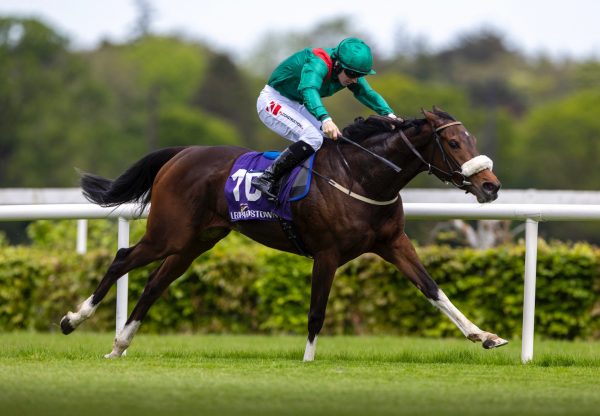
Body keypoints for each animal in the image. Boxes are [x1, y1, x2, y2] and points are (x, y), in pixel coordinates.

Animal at [59, 108, 506, 360]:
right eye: (453, 143)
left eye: (471, 139)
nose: (491, 186)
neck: (363, 176)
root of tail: (181, 153)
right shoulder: (326, 253)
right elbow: (316, 312)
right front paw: (307, 363)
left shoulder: (392, 243)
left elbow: (433, 289)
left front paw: (484, 335)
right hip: (169, 233)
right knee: (122, 259)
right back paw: (72, 319)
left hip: (195, 241)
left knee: (155, 283)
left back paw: (120, 345)